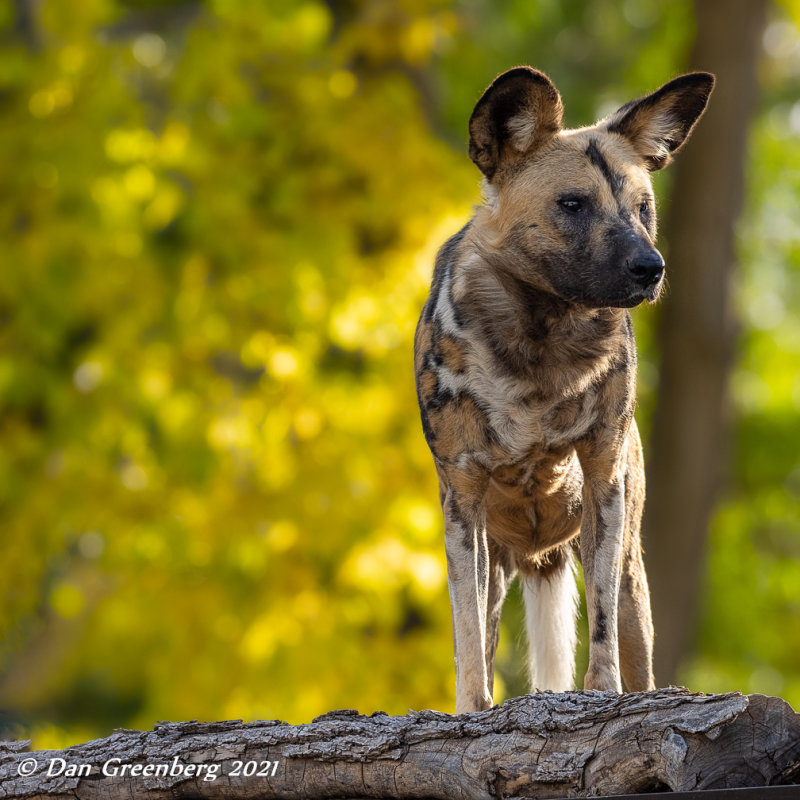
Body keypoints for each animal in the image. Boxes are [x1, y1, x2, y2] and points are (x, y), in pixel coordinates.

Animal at [416, 65, 708, 708]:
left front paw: (603, 695)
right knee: (485, 626)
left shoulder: (603, 478)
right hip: (496, 557)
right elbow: (466, 638)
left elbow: (600, 628)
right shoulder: (462, 501)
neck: (542, 343)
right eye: (572, 205)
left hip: (629, 570)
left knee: (634, 644)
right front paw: (471, 712)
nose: (651, 267)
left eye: (643, 208)